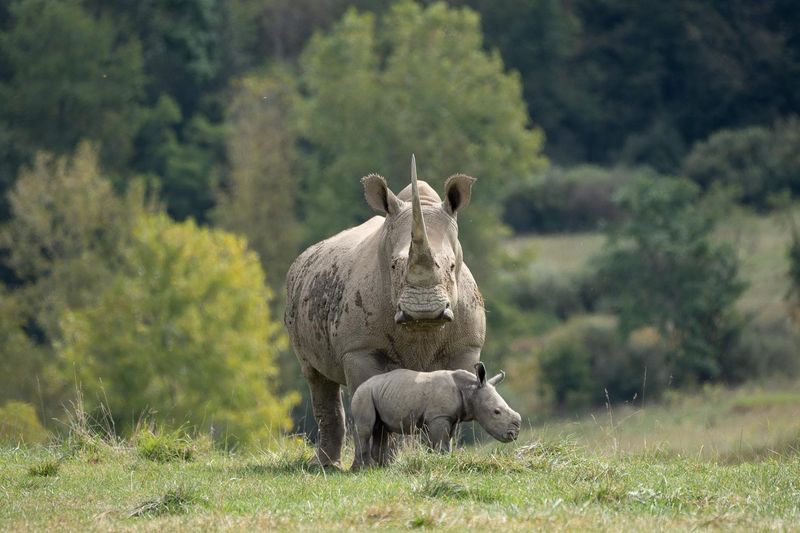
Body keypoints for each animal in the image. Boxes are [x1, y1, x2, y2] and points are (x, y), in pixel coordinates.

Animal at [350, 362, 520, 470]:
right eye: (496, 412)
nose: (514, 434)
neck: (470, 389)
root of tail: (361, 385)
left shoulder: (451, 418)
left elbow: (448, 441)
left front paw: (445, 460)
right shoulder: (439, 416)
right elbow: (441, 441)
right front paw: (442, 461)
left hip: (378, 392)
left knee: (382, 429)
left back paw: (384, 467)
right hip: (363, 393)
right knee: (365, 428)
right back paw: (364, 469)